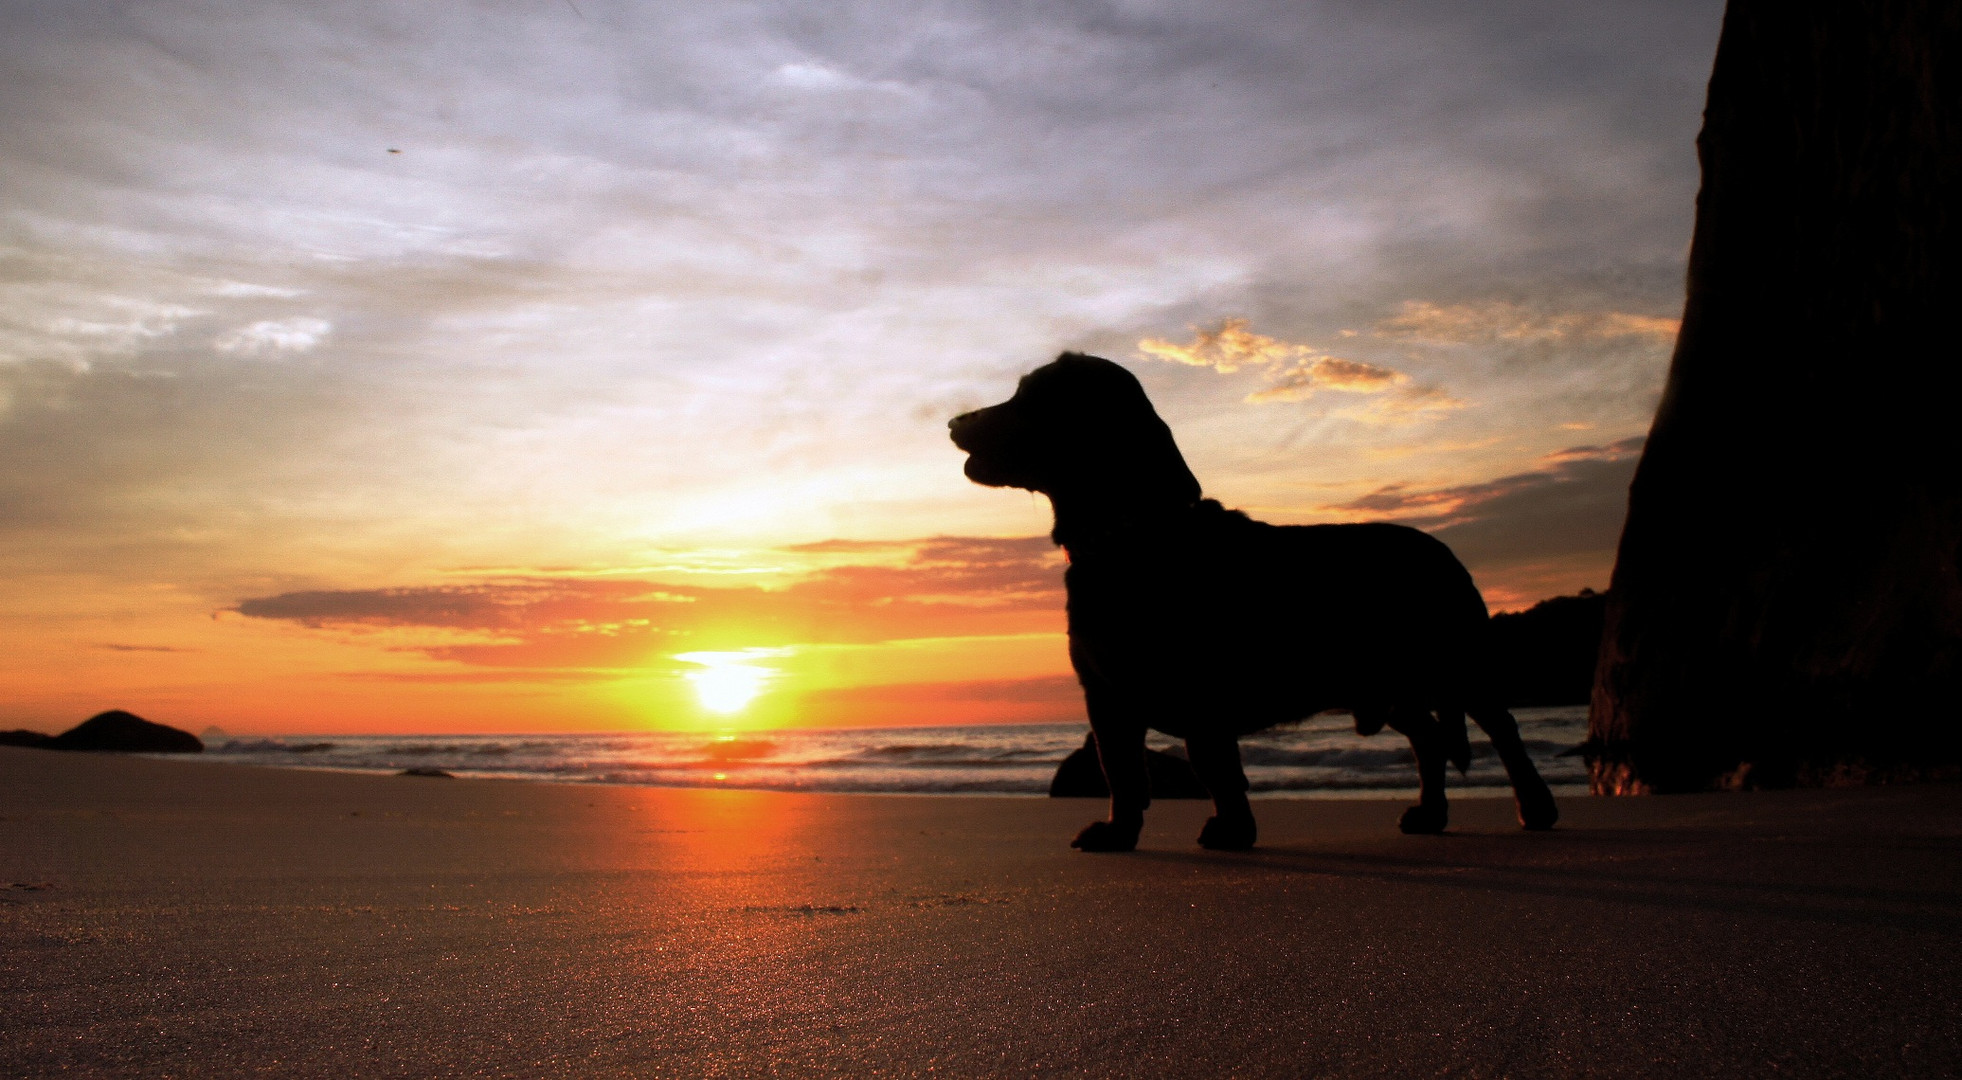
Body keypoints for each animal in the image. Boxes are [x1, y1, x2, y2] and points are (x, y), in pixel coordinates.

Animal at [949, 355, 1561, 856]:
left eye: (1028, 397)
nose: (955, 423)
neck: (1129, 537)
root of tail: (1438, 548)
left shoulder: (1199, 688)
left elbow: (1214, 764)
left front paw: (1233, 828)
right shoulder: (1106, 695)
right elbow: (1121, 770)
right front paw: (1120, 833)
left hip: (1460, 662)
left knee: (1504, 731)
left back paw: (1535, 807)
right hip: (1387, 685)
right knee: (1429, 739)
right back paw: (1431, 815)